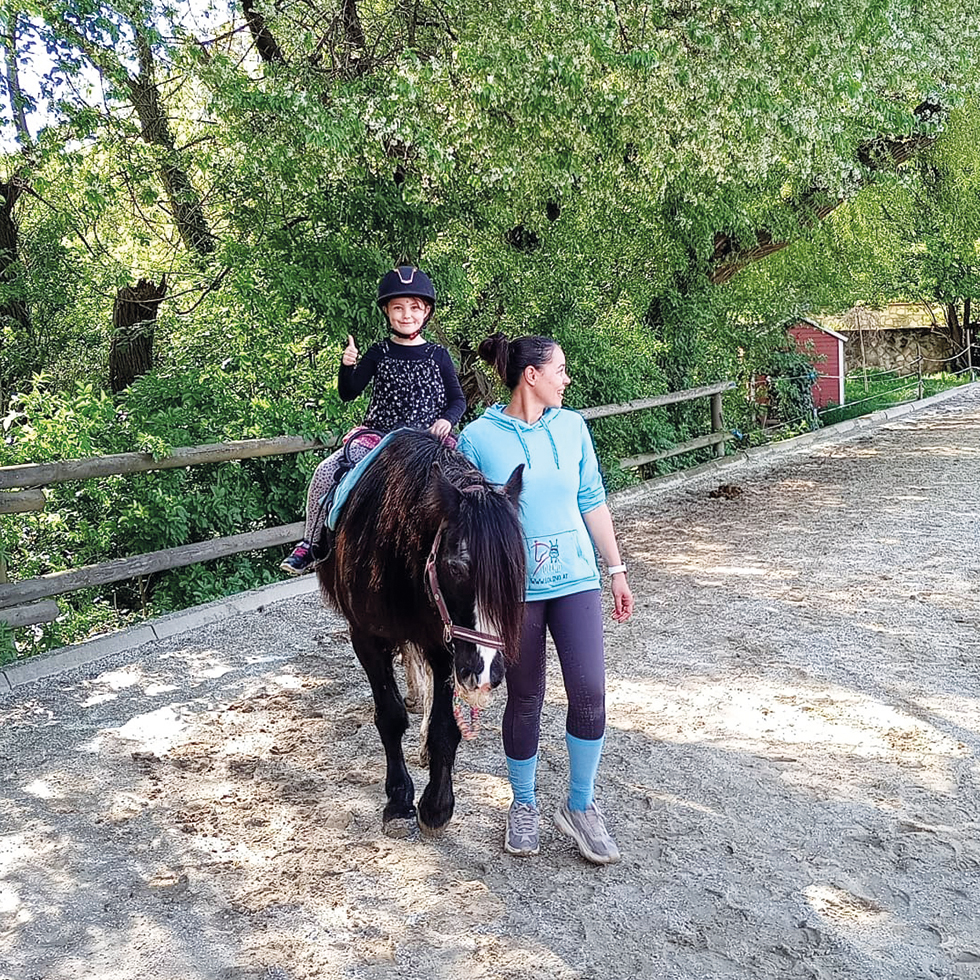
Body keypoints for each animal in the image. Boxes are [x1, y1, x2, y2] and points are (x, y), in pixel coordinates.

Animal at [316, 428, 525, 836]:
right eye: (456, 568)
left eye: (518, 570)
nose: (487, 673)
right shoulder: (366, 638)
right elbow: (390, 716)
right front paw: (399, 800)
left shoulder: (446, 647)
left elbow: (446, 726)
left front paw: (437, 805)